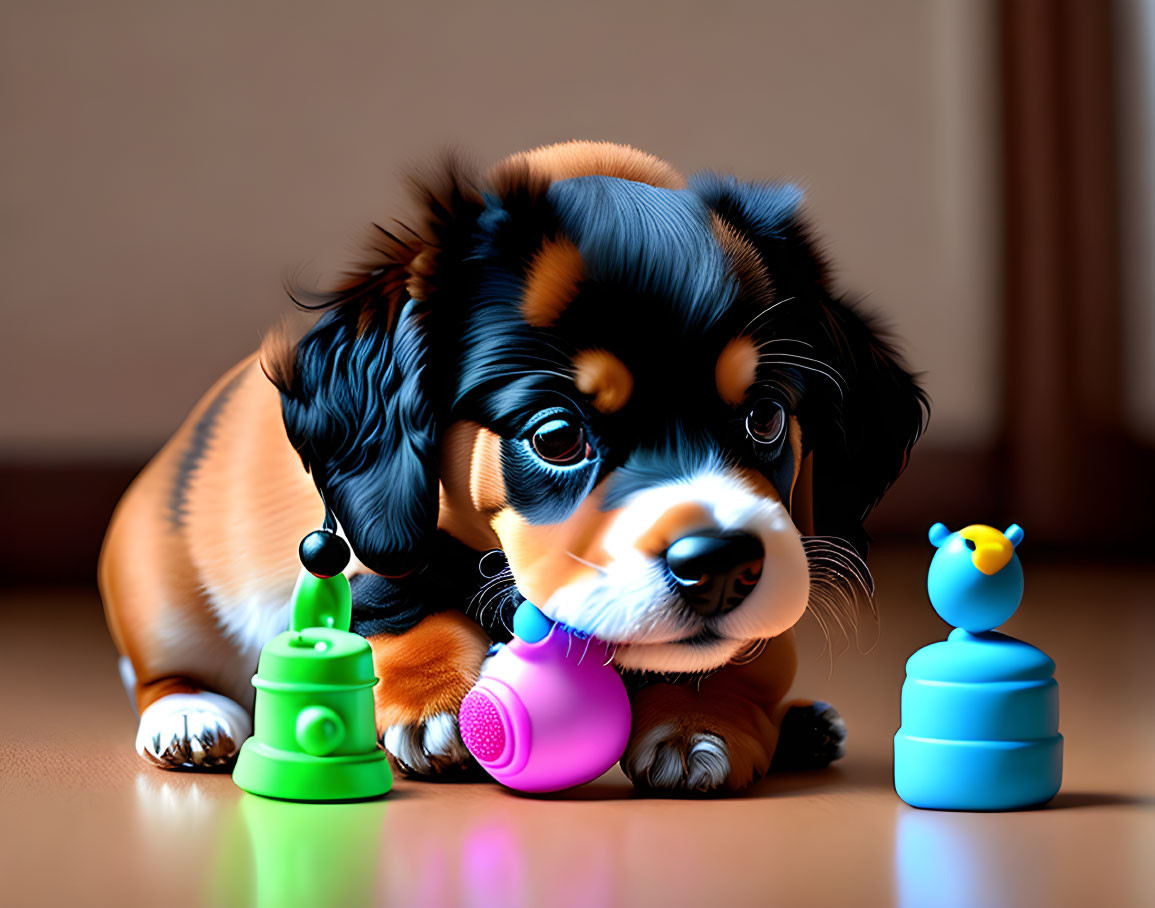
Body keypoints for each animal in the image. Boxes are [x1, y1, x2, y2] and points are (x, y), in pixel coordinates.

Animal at [101, 138, 928, 790]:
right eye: (556, 437)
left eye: (763, 418)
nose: (722, 565)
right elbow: (398, 596)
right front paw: (436, 704)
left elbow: (731, 659)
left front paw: (701, 723)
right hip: (159, 586)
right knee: (166, 672)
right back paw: (189, 718)